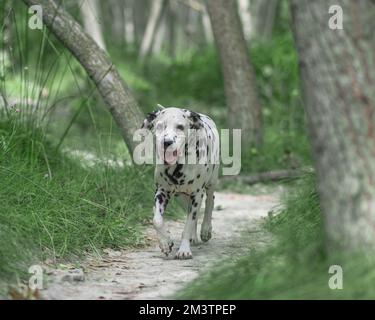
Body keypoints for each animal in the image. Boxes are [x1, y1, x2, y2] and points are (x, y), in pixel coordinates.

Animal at [141, 106, 220, 258]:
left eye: (180, 127)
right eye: (159, 126)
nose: (167, 142)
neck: (177, 167)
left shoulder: (196, 195)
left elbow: (188, 224)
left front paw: (184, 249)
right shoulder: (161, 192)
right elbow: (157, 220)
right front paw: (165, 242)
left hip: (211, 182)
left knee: (210, 202)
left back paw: (206, 229)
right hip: (182, 197)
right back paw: (193, 237)